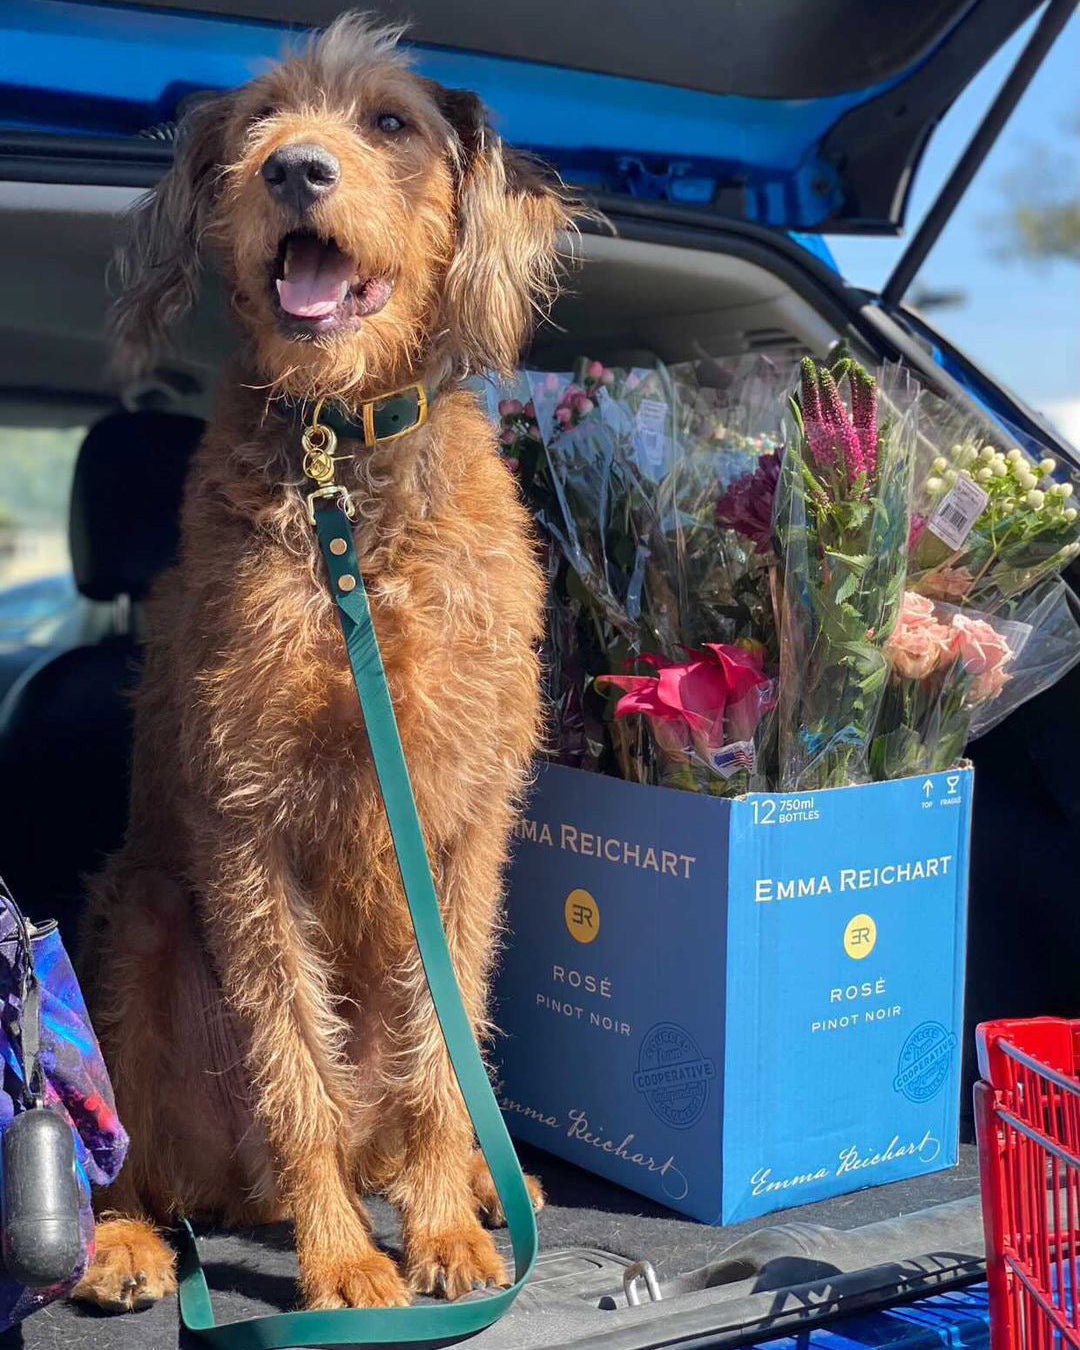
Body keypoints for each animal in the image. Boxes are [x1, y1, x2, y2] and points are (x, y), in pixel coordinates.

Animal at [70, 15, 569, 1312]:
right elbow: (294, 1052)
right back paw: (127, 1241)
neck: (341, 462)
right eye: (256, 123)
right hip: (140, 923)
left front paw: (444, 1234)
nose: (295, 168)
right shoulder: (247, 819)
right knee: (133, 1149)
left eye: (391, 122)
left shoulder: (464, 819)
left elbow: (446, 1044)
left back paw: (483, 1185)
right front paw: (344, 1260)